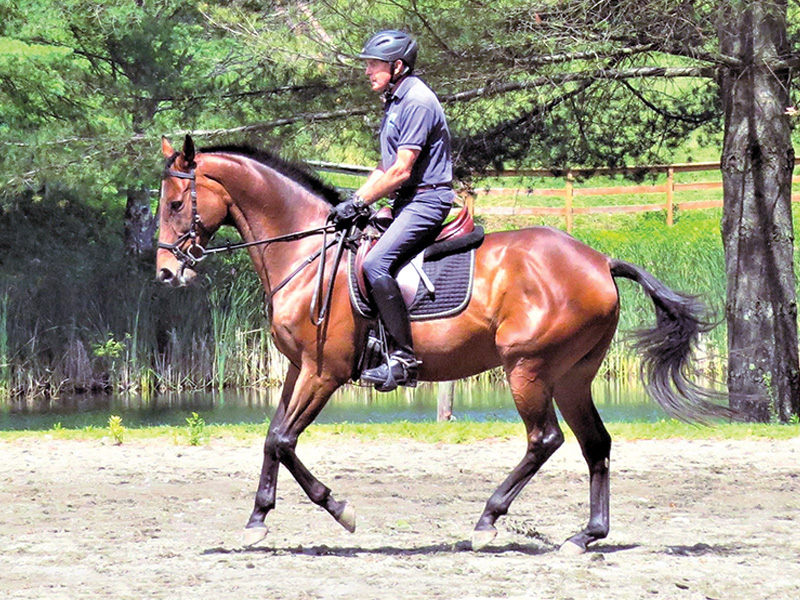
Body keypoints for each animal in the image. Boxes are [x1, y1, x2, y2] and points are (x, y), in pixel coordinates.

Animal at [156, 135, 731, 554]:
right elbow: (272, 438)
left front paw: (340, 510)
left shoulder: (325, 372)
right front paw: (257, 519)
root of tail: (599, 261)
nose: (165, 272)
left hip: (527, 368)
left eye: (177, 202)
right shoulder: (300, 369)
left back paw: (488, 521)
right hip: (571, 376)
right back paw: (586, 536)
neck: (305, 252)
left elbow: (282, 440)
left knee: (545, 439)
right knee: (596, 444)